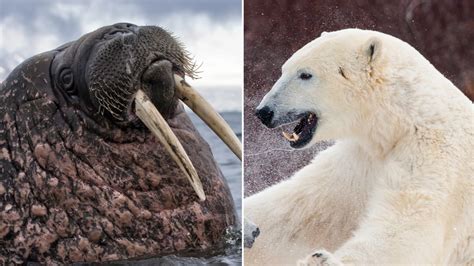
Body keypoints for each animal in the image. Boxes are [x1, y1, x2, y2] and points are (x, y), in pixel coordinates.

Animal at [244, 28, 474, 264]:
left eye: (305, 74)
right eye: (284, 69)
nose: (264, 112)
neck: (401, 123)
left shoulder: (435, 156)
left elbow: (409, 224)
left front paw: (320, 259)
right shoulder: (359, 160)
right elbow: (296, 213)